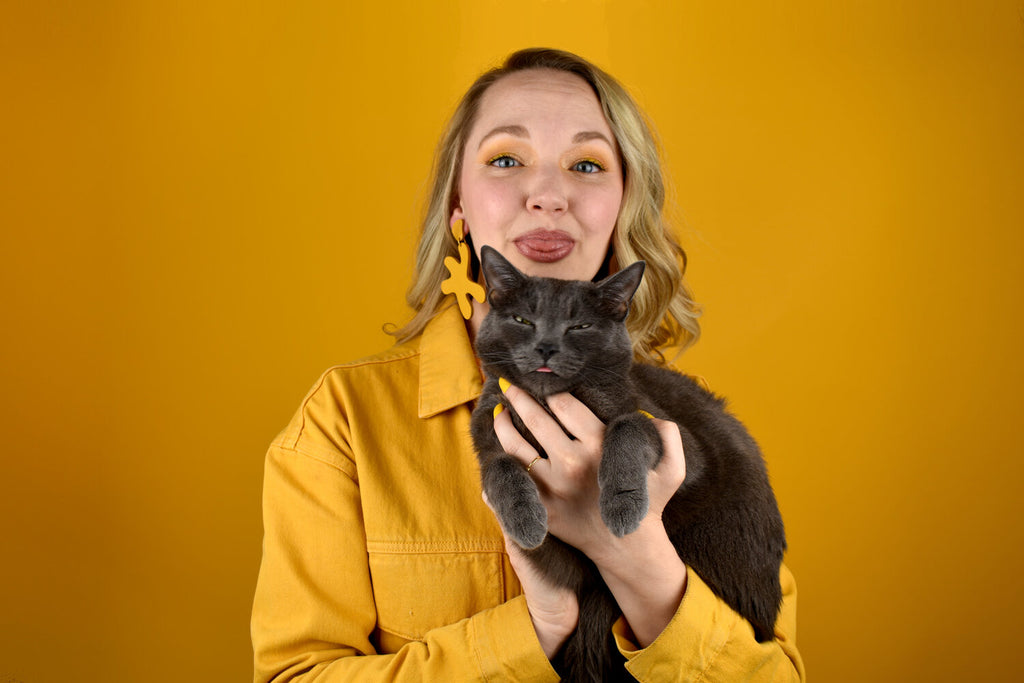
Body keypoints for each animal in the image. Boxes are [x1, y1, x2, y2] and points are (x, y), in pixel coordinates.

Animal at [468, 246, 786, 683]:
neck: (547, 403)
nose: (546, 346)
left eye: (580, 326)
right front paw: (525, 521)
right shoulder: (487, 427)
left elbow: (627, 424)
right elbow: (498, 467)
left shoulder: (682, 444)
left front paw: (621, 507)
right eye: (522, 320)